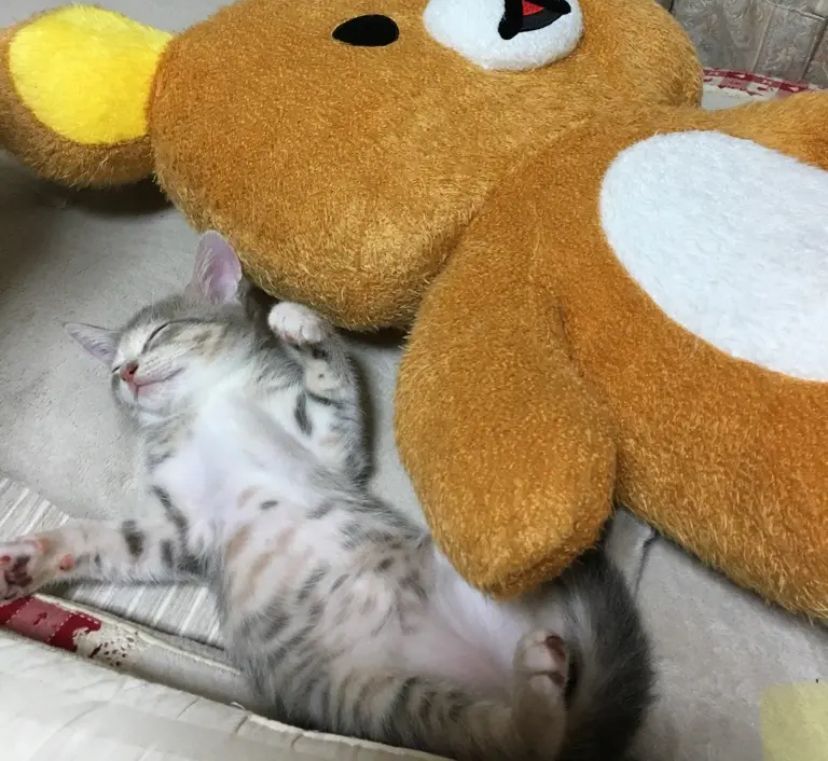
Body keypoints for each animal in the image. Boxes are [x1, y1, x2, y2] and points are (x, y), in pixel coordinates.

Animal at [0, 232, 654, 761]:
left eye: (160, 334)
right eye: (114, 369)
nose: (131, 374)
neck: (206, 407)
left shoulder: (328, 445)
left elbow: (332, 384)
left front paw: (301, 326)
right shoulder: (181, 532)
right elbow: (109, 539)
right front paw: (30, 558)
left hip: (472, 577)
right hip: (378, 696)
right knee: (521, 743)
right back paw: (537, 691)